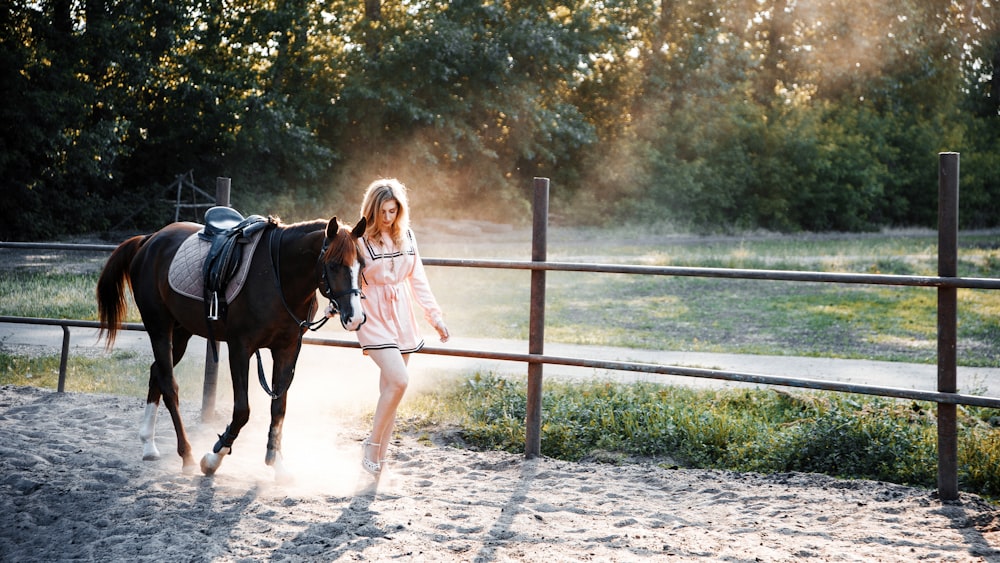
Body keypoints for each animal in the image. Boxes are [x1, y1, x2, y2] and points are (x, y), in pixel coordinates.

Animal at [96, 215, 368, 476]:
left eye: (362, 265)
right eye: (333, 265)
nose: (355, 317)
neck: (277, 276)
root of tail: (150, 240)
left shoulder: (288, 349)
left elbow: (278, 408)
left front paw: (277, 462)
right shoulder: (240, 348)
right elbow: (242, 410)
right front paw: (213, 458)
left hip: (181, 333)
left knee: (157, 374)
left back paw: (149, 445)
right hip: (159, 328)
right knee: (169, 386)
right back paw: (187, 455)